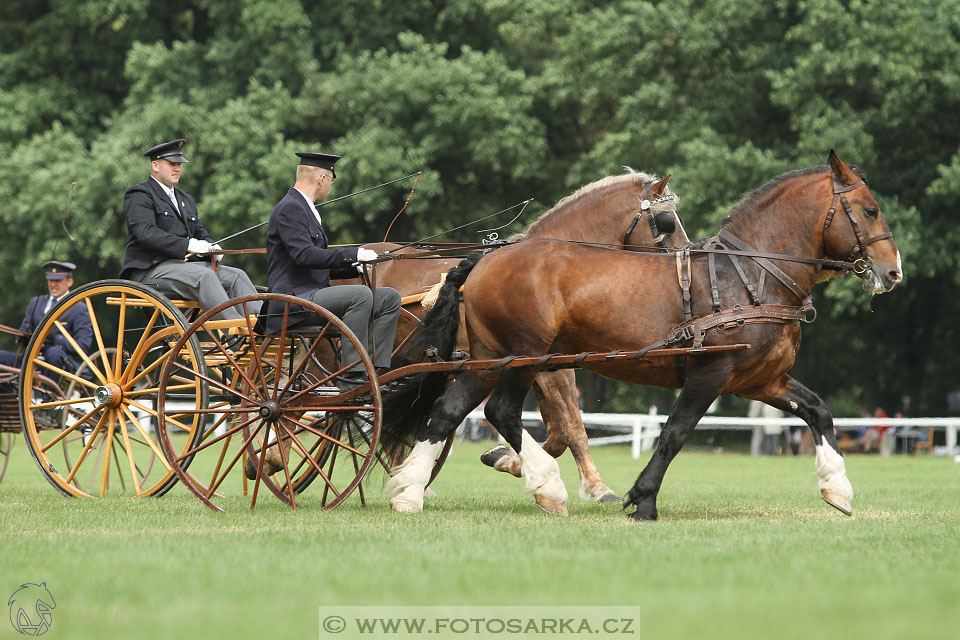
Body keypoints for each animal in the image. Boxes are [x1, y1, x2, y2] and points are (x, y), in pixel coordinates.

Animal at [334, 169, 688, 500]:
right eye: (667, 221)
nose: (685, 254)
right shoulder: (551, 368)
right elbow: (572, 426)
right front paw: (596, 487)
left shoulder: (543, 367)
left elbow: (557, 432)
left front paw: (506, 458)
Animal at [382, 151, 900, 520]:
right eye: (869, 210)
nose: (893, 272)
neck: (750, 276)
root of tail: (483, 259)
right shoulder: (710, 372)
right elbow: (673, 433)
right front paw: (643, 500)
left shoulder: (761, 380)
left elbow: (818, 411)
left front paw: (837, 488)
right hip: (523, 356)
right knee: (501, 411)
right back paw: (546, 486)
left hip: (487, 359)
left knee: (448, 411)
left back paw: (408, 491)